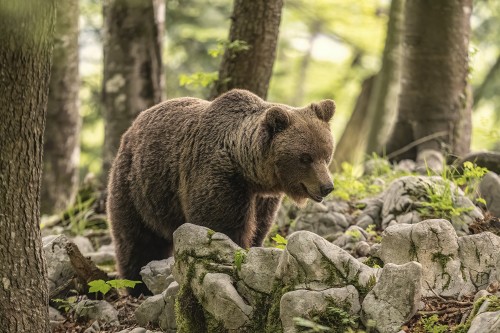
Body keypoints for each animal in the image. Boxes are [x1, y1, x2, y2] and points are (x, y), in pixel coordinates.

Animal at [108, 88, 338, 294]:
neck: (247, 170)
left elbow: (259, 226)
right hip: (137, 186)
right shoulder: (219, 178)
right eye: (305, 157)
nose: (327, 186)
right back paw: (137, 284)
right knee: (136, 239)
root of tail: (133, 125)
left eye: (326, 155)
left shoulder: (261, 199)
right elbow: (220, 225)